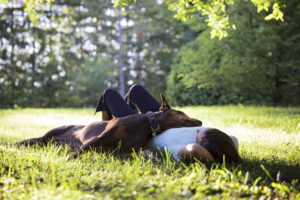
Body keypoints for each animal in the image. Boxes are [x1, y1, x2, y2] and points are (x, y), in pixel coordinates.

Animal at [17, 94, 203, 159]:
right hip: (43, 137)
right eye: (183, 113)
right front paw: (69, 159)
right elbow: (80, 151)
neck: (145, 125)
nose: (201, 121)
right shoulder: (98, 138)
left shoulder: (126, 149)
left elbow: (142, 152)